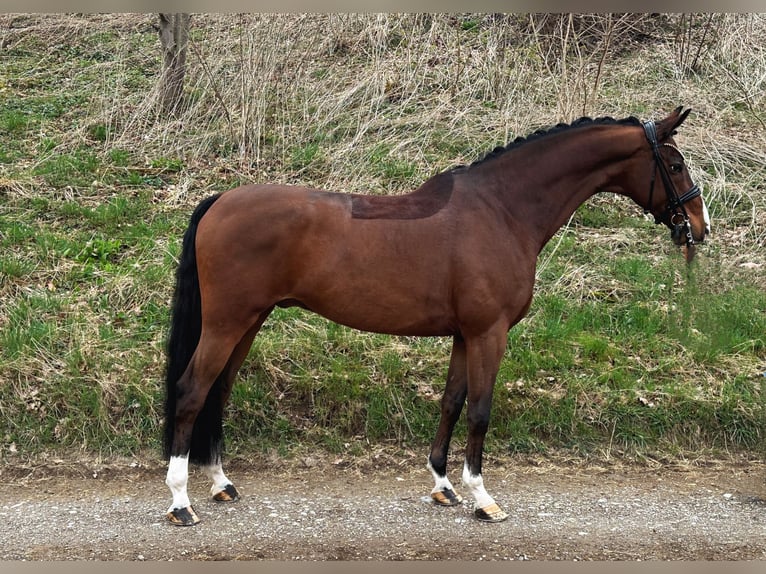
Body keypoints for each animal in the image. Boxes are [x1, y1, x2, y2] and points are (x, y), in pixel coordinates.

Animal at [162, 106, 711, 526]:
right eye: (675, 164)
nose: (699, 228)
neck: (502, 209)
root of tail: (219, 201)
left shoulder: (465, 336)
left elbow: (451, 402)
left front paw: (444, 485)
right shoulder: (489, 334)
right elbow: (480, 411)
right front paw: (484, 499)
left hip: (249, 322)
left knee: (218, 391)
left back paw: (220, 482)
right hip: (228, 322)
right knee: (192, 391)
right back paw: (181, 503)